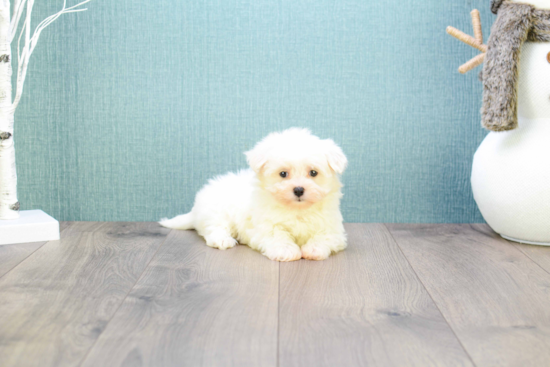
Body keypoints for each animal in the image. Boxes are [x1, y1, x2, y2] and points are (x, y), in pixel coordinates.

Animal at [161, 129, 350, 262]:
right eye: (283, 174)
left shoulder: (333, 228)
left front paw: (314, 249)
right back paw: (223, 240)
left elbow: (324, 236)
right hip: (217, 212)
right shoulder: (266, 226)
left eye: (313, 172)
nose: (298, 190)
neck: (297, 209)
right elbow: (277, 236)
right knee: (213, 228)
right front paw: (286, 251)